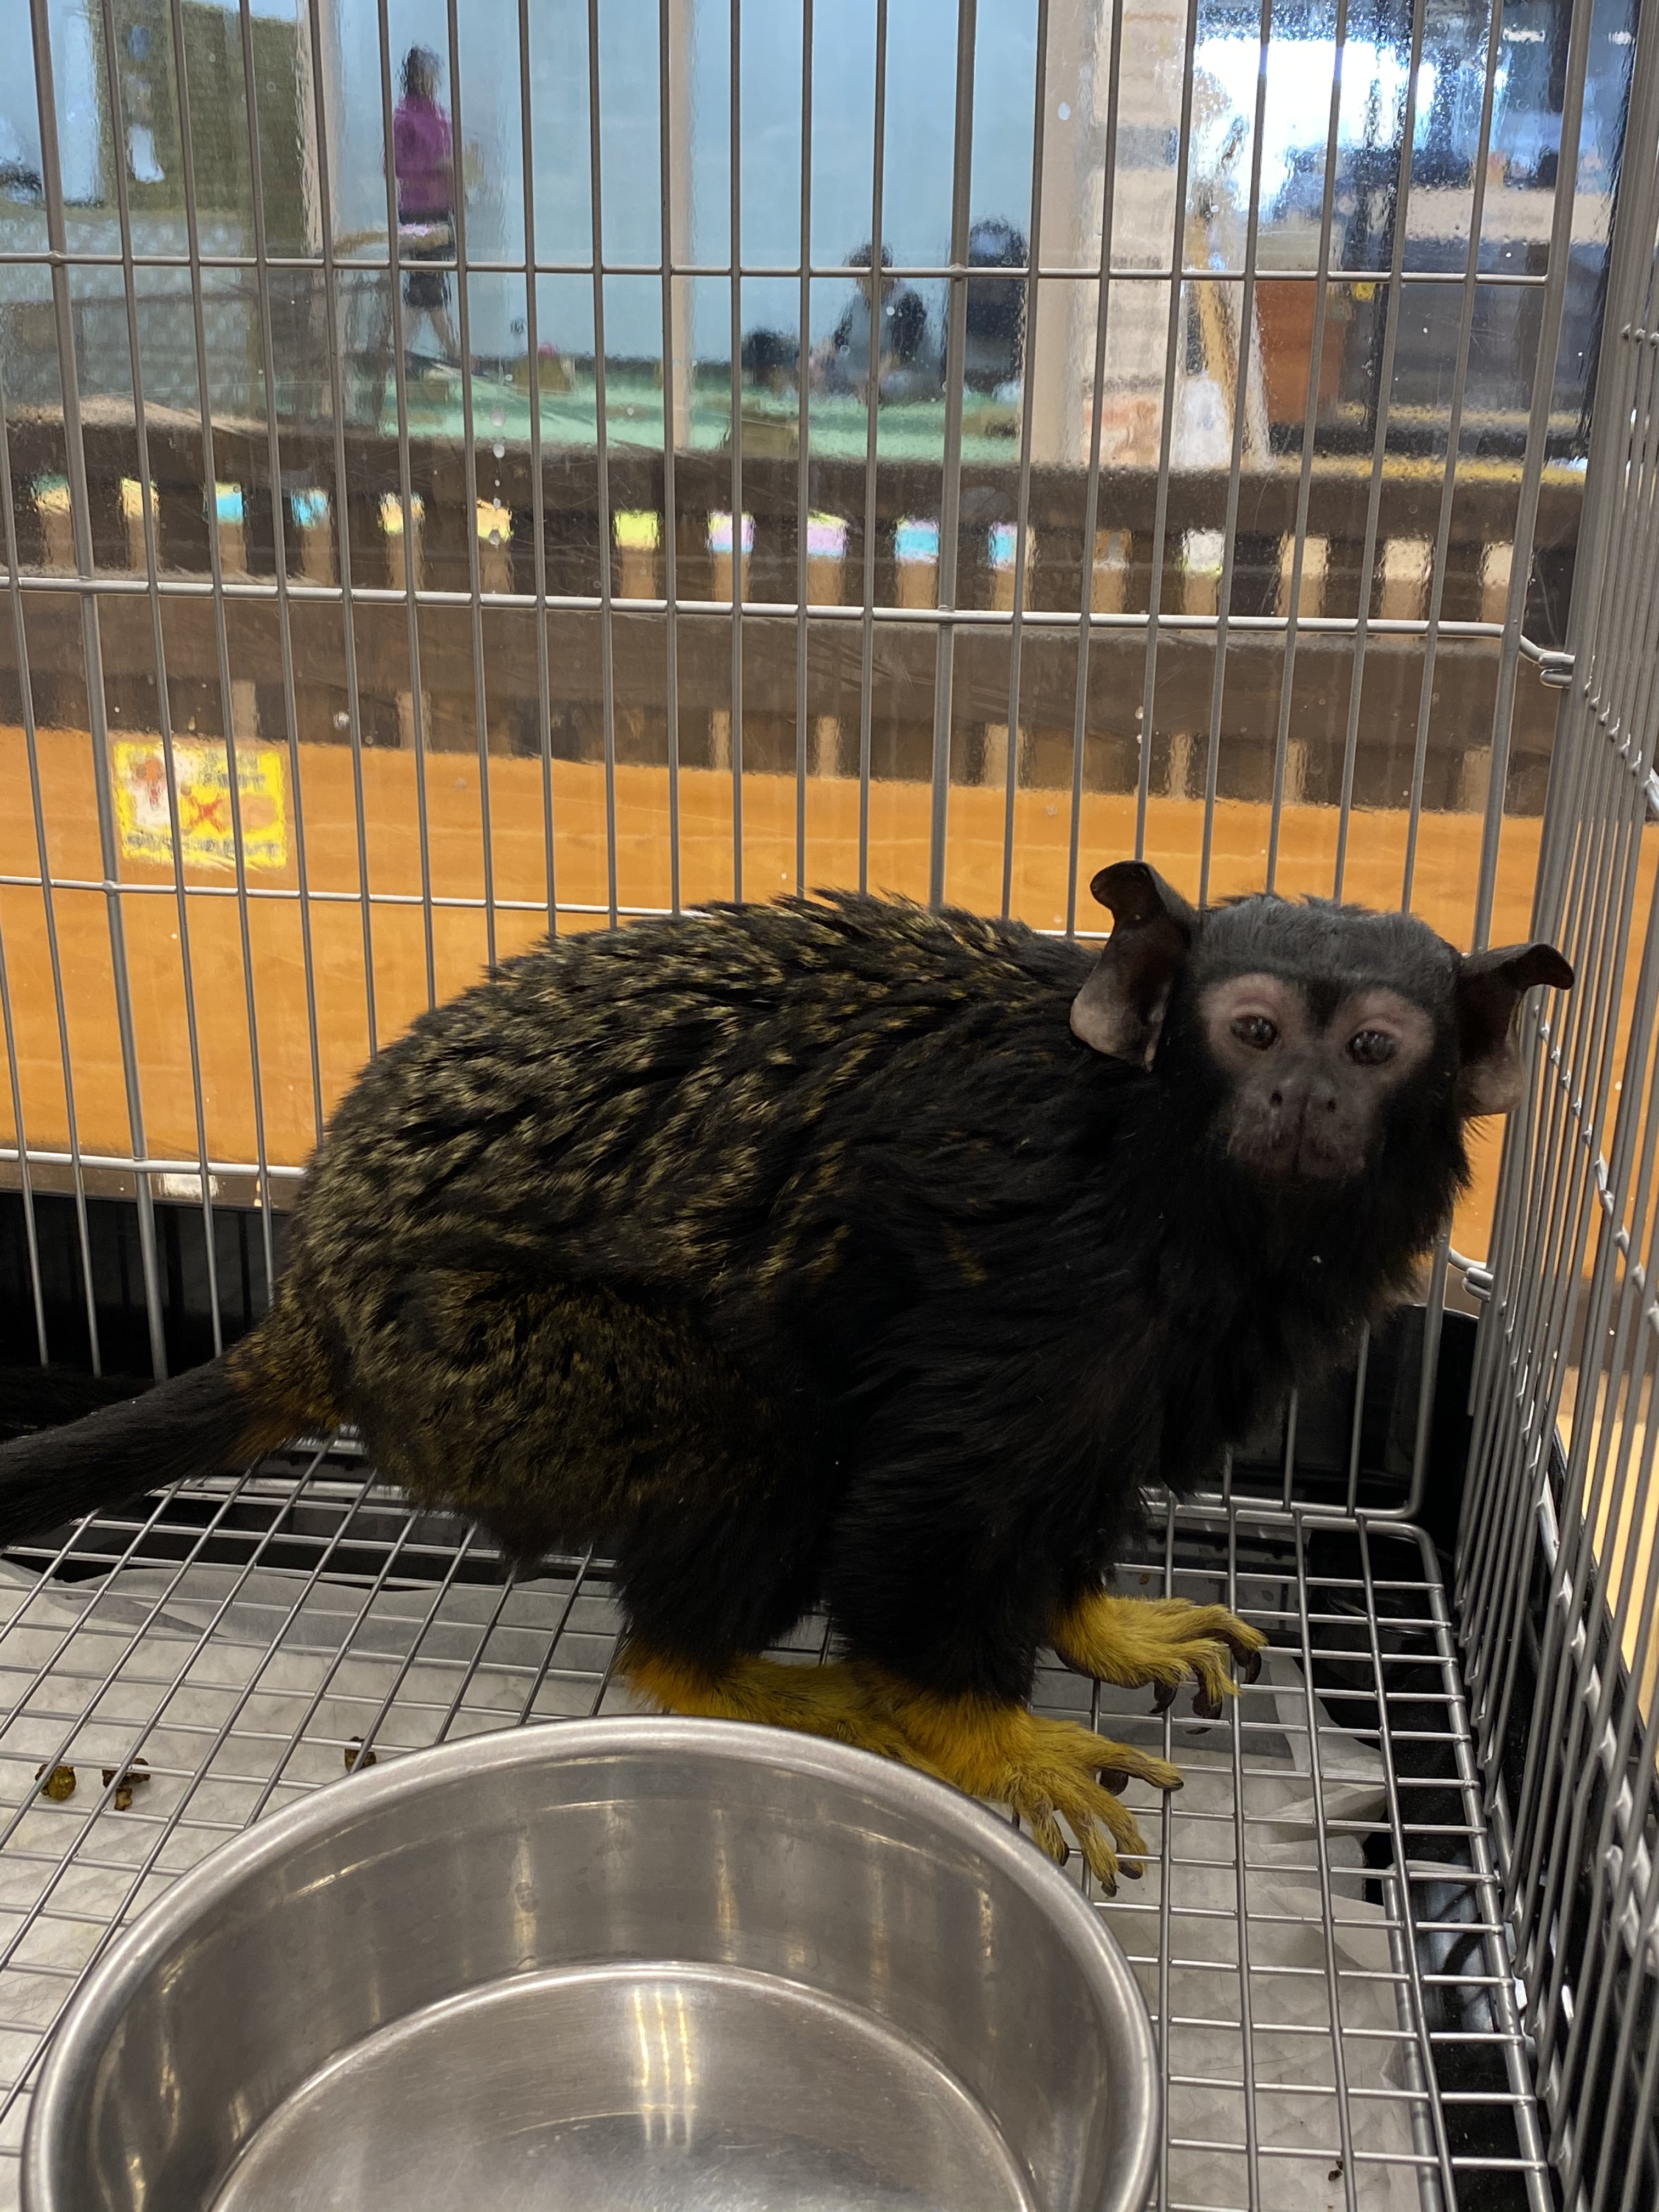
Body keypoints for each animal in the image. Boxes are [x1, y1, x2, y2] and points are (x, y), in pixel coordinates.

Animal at [0, 863, 1571, 1889]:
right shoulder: (1046, 1266)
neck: (1173, 1172)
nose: (1305, 1098)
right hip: (481, 1366)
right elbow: (933, 1506)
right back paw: (728, 1673)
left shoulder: (1166, 1347)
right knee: (766, 1443)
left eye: (1373, 1046)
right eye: (1252, 1031)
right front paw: (982, 1730)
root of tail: (320, 1295)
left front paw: (1095, 1622)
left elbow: (1072, 1486)